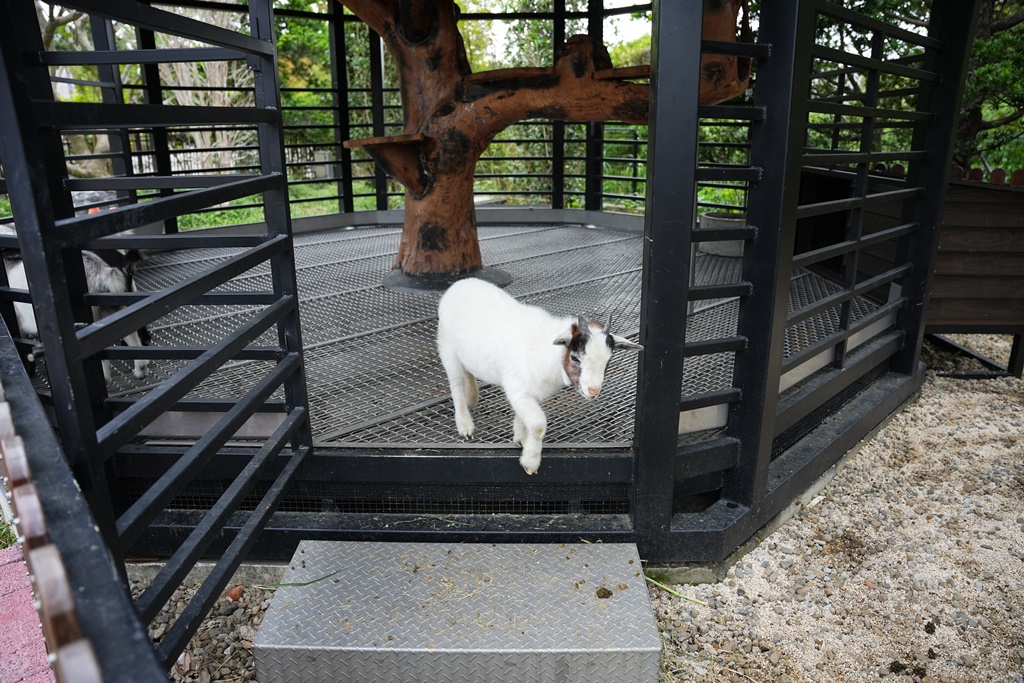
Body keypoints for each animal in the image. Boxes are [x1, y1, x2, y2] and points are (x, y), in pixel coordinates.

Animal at [438, 278, 638, 475]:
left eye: (608, 361)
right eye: (575, 357)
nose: (593, 391)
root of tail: (458, 285)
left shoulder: (530, 393)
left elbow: (524, 417)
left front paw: (520, 437)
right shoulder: (518, 390)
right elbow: (539, 426)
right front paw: (530, 461)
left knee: (468, 370)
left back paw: (472, 397)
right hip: (447, 350)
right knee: (456, 384)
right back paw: (465, 425)